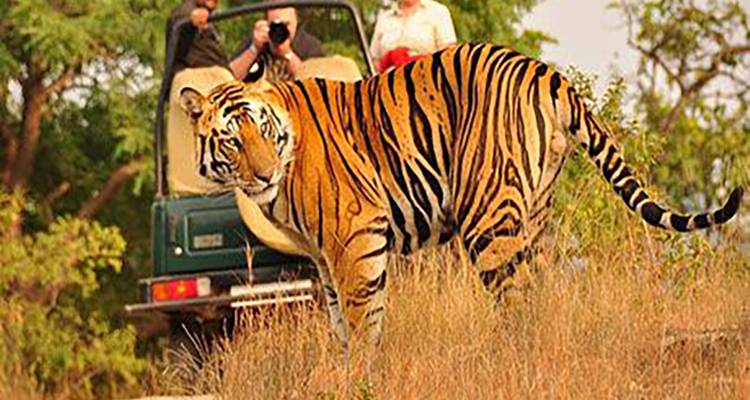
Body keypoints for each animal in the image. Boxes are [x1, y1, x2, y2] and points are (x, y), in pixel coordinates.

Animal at [178, 43, 744, 348]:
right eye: (231, 140)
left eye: (261, 131)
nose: (263, 175)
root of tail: (547, 71)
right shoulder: (323, 257)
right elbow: (341, 324)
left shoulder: (355, 237)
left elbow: (363, 323)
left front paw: (361, 377)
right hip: (533, 215)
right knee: (539, 294)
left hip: (488, 218)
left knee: (517, 301)